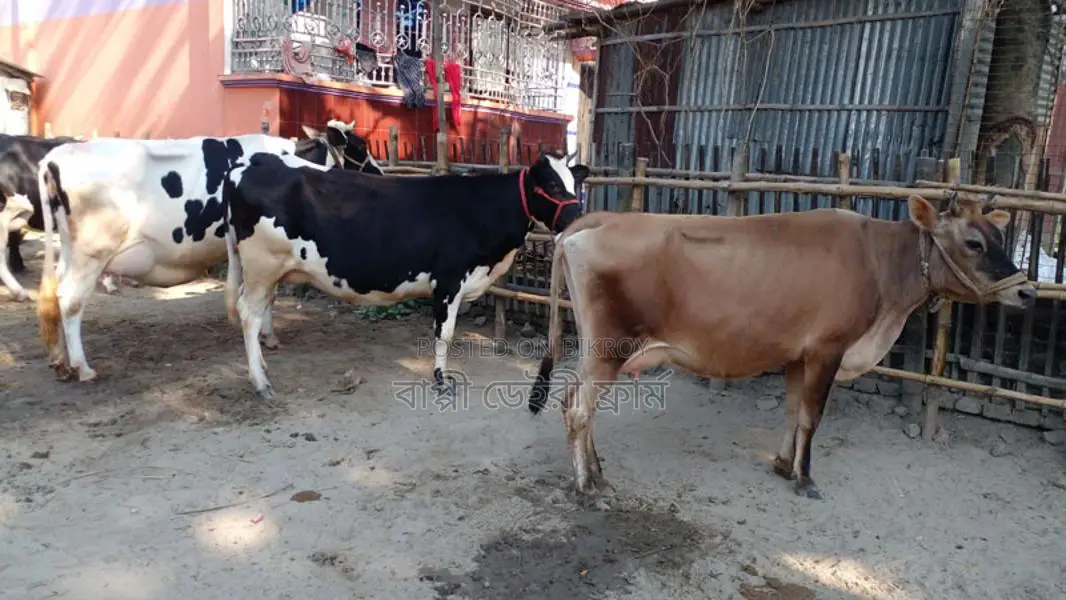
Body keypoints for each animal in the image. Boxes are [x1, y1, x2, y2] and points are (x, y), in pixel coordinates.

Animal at [35, 123, 383, 383]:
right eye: (360, 147)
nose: (380, 174)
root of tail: (57, 155)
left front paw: (266, 336)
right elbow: (264, 296)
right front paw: (267, 338)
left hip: (70, 251)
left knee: (55, 295)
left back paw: (60, 360)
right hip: (91, 253)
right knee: (71, 301)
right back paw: (82, 368)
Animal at [221, 150, 590, 397]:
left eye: (576, 184)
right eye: (553, 185)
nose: (577, 218)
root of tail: (250, 163)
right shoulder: (449, 282)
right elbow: (445, 335)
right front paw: (442, 380)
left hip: (267, 272)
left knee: (257, 312)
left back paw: (263, 368)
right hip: (262, 265)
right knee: (249, 315)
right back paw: (261, 383)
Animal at [528, 194, 1036, 505]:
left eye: (1000, 237)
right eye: (973, 242)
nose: (1027, 291)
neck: (880, 265)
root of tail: (594, 221)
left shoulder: (797, 353)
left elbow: (793, 412)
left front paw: (780, 463)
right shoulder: (828, 349)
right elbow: (812, 416)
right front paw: (805, 477)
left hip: (597, 348)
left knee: (577, 403)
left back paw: (598, 472)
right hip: (609, 348)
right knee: (578, 409)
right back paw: (585, 486)